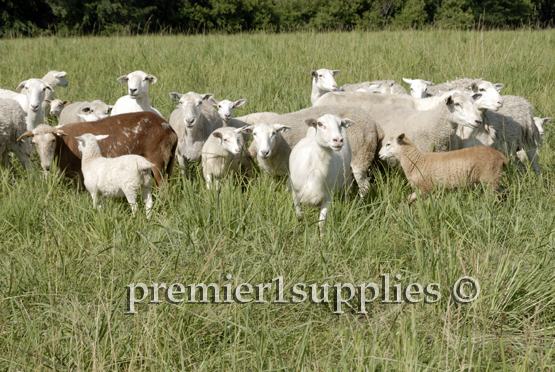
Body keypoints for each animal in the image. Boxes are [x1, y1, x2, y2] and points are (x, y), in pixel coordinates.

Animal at [248, 104, 382, 195]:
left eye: (273, 133)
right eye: (254, 134)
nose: (264, 152)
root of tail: (374, 124)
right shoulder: (270, 173)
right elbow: (270, 188)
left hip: (361, 155)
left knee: (365, 187)